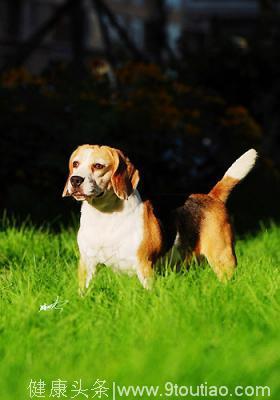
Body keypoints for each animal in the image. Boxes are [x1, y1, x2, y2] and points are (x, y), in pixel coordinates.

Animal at [62, 145, 258, 290]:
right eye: (75, 164)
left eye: (98, 166)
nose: (75, 180)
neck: (104, 217)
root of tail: (212, 197)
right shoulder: (87, 264)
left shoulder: (144, 266)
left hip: (223, 258)